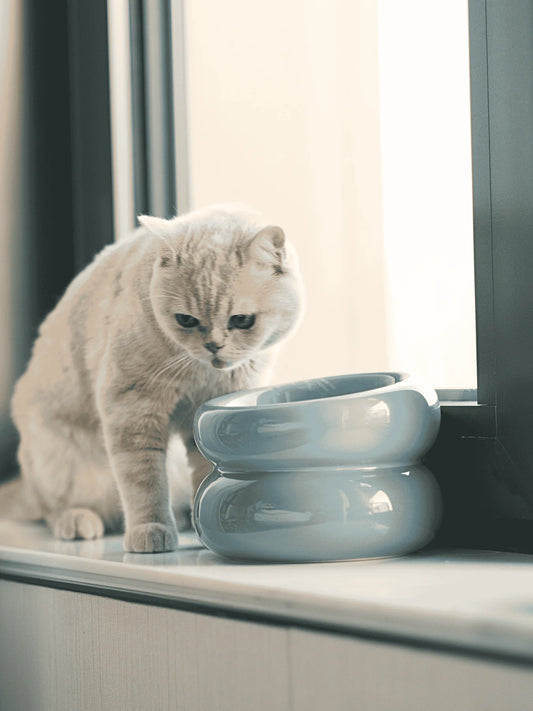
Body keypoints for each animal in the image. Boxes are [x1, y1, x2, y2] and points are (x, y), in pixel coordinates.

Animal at [0, 203, 302, 552]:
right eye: (186, 320)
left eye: (242, 320)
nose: (213, 346)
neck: (199, 375)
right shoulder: (132, 409)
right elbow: (144, 482)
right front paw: (151, 530)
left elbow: (205, 472)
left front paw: (203, 526)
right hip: (55, 463)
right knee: (53, 507)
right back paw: (76, 520)